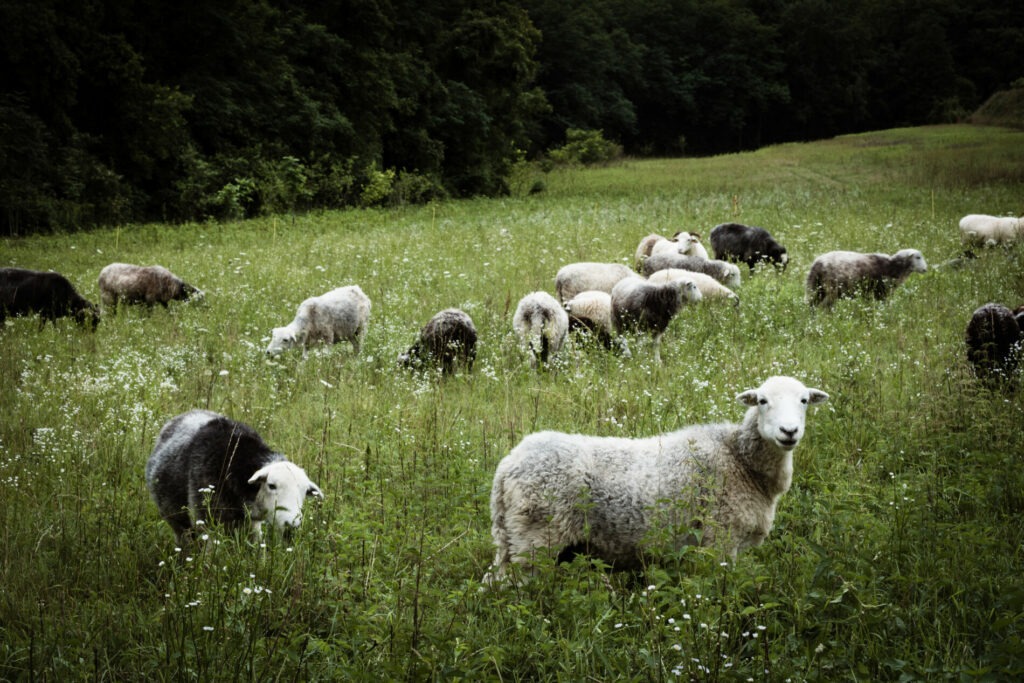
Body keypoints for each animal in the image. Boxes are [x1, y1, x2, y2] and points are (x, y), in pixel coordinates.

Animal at [145, 410, 323, 546]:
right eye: (271, 485)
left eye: (305, 492)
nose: (291, 525)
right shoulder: (209, 524)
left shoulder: (252, 525)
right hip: (177, 519)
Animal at [482, 376, 829, 585]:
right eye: (762, 401)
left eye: (803, 401)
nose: (788, 432)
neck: (739, 459)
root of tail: (508, 465)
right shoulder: (720, 540)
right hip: (536, 536)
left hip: (512, 537)